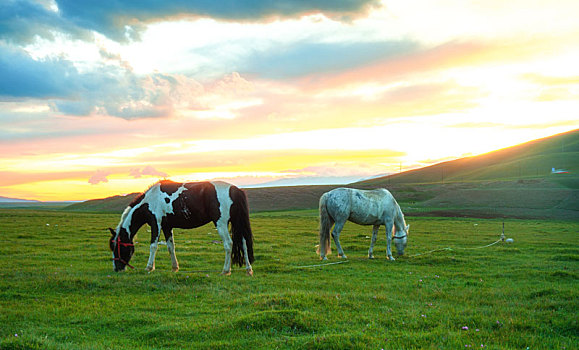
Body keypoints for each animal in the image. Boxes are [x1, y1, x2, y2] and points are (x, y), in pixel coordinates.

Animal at [109, 180, 254, 276]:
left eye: (118, 247)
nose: (117, 268)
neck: (149, 201)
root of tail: (234, 190)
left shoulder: (156, 223)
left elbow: (153, 246)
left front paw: (149, 267)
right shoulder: (167, 227)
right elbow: (170, 247)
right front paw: (174, 267)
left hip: (221, 223)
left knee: (228, 244)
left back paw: (226, 270)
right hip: (237, 224)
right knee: (243, 243)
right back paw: (248, 269)